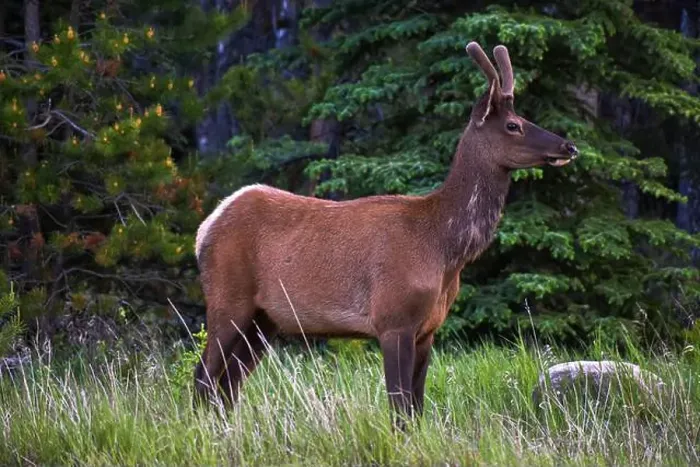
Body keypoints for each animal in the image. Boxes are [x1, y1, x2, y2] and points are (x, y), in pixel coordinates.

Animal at [192, 41, 578, 428]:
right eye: (514, 125)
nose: (569, 146)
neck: (443, 247)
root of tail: (206, 226)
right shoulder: (393, 318)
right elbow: (399, 407)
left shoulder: (428, 330)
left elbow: (416, 407)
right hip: (228, 298)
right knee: (204, 375)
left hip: (267, 319)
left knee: (229, 382)